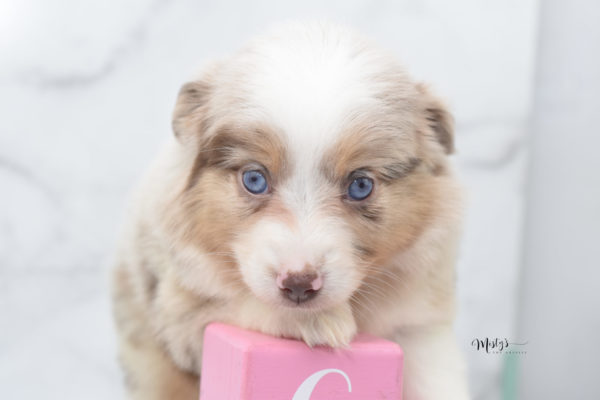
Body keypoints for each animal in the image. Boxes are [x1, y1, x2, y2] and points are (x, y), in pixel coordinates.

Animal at [111, 21, 468, 400]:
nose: (299, 284)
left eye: (360, 185)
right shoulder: (178, 308)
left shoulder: (419, 322)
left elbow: (437, 378)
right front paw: (321, 321)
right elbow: (238, 302)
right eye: (254, 179)